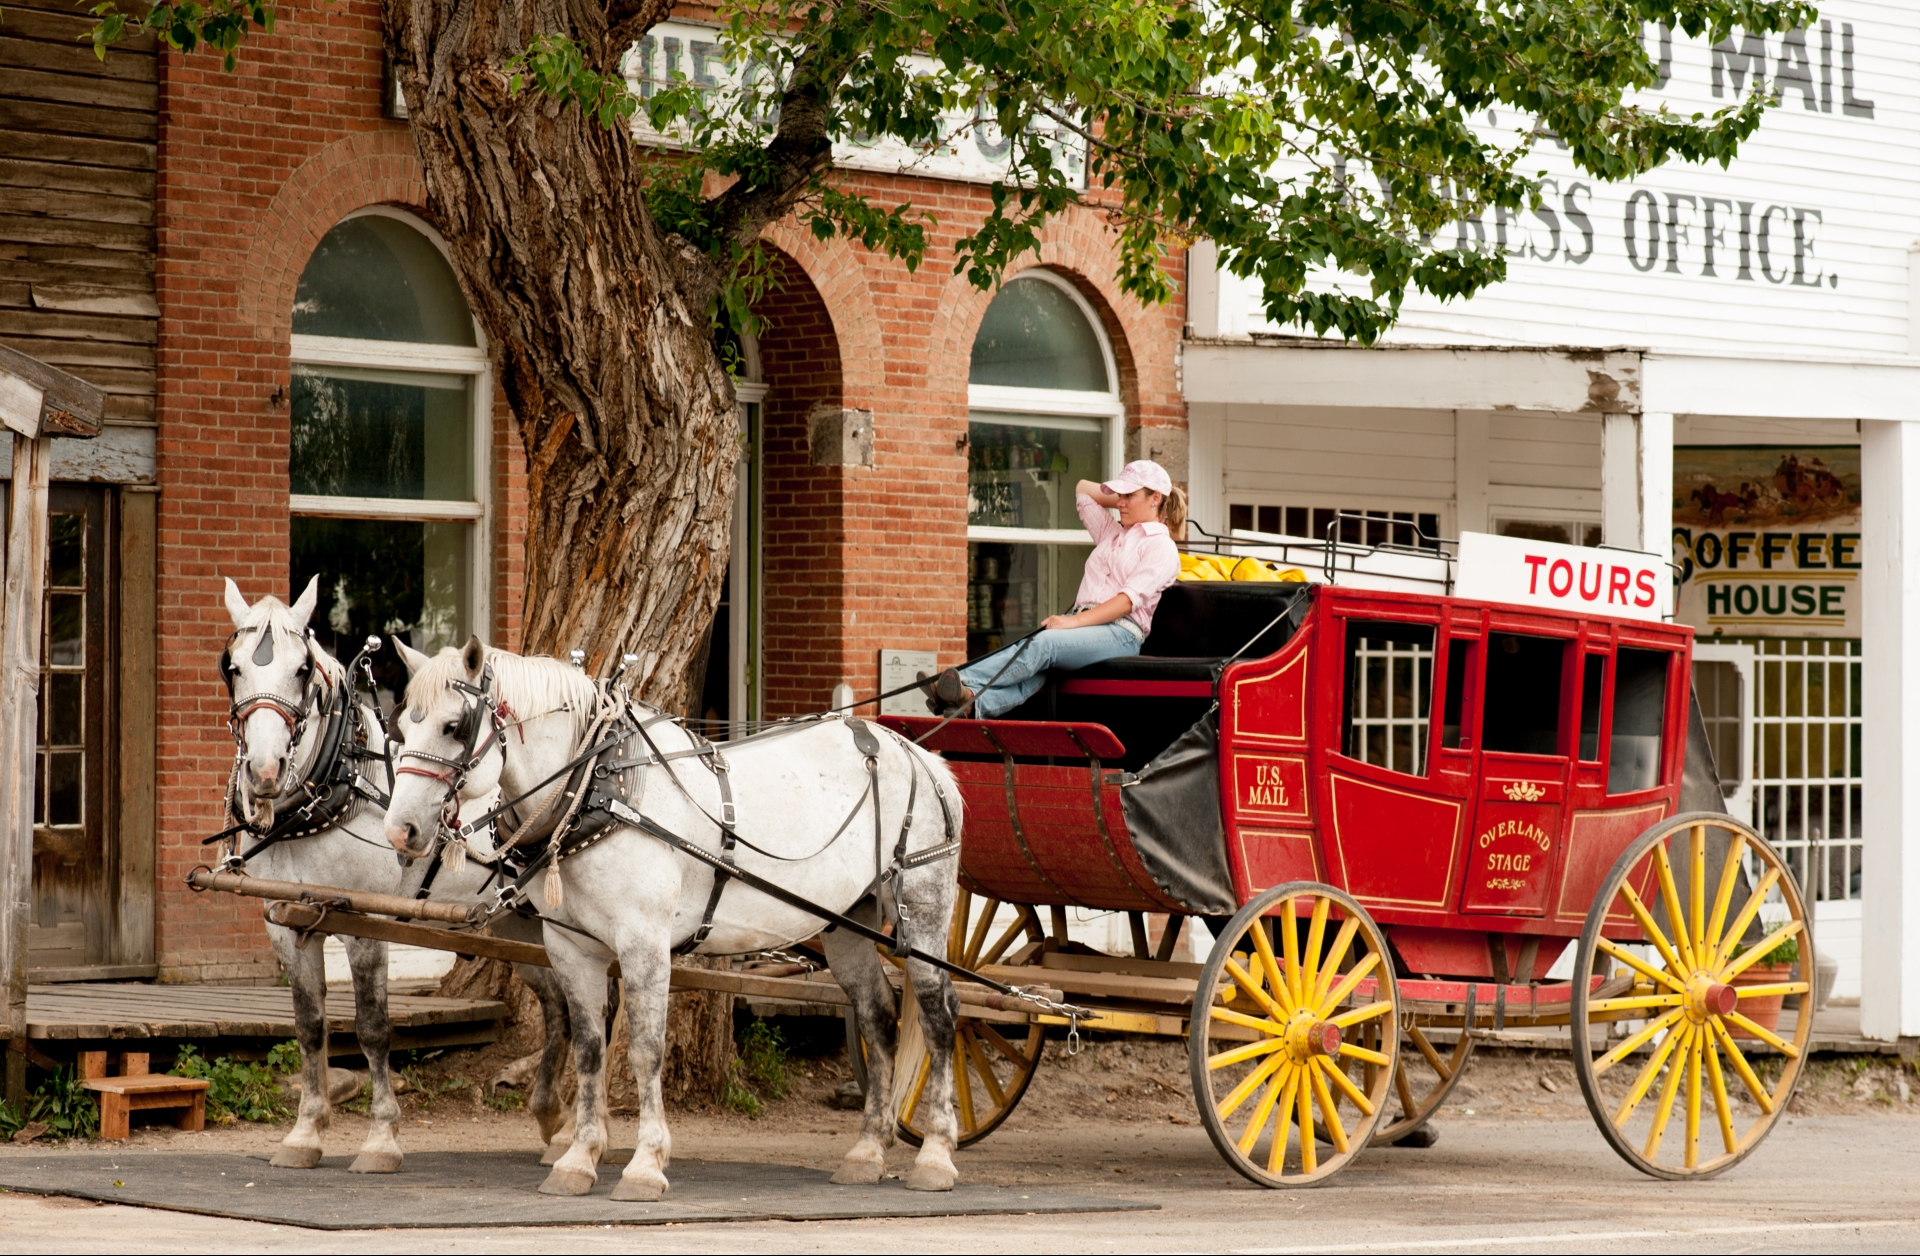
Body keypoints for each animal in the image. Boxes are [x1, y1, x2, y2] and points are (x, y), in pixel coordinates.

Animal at [217, 580, 576, 1171]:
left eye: (302, 669)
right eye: (234, 667)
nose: (265, 773)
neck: (333, 789)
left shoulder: (365, 924)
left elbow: (372, 1028)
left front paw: (381, 1137)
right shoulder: (285, 924)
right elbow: (309, 1027)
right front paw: (306, 1132)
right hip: (518, 924)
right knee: (561, 1005)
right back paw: (555, 1119)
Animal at [379, 635, 967, 1201]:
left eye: (454, 727)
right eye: (402, 722)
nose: (400, 830)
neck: (597, 784)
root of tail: (916, 753)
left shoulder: (644, 943)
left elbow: (644, 1050)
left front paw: (645, 1164)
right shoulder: (572, 948)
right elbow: (589, 1049)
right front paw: (579, 1158)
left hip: (924, 908)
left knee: (939, 1018)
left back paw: (936, 1154)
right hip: (848, 924)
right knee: (878, 1018)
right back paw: (867, 1152)